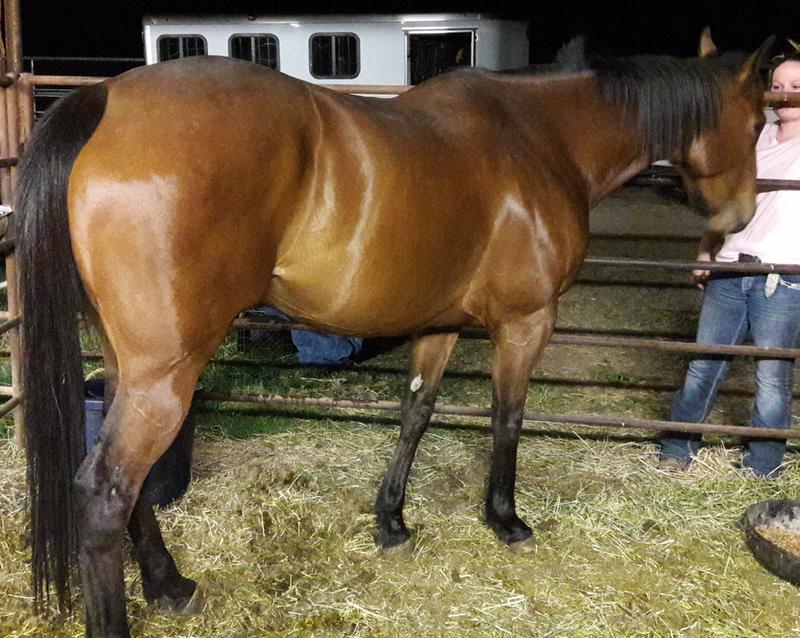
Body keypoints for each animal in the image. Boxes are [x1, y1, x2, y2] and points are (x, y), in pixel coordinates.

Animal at [17, 30, 773, 636]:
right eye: (762, 118)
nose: (739, 219)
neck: (540, 137)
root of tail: (106, 100)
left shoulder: (437, 325)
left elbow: (416, 413)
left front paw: (392, 522)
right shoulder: (525, 324)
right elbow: (507, 418)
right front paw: (505, 519)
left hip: (131, 366)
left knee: (136, 485)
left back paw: (171, 586)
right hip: (166, 375)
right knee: (107, 492)